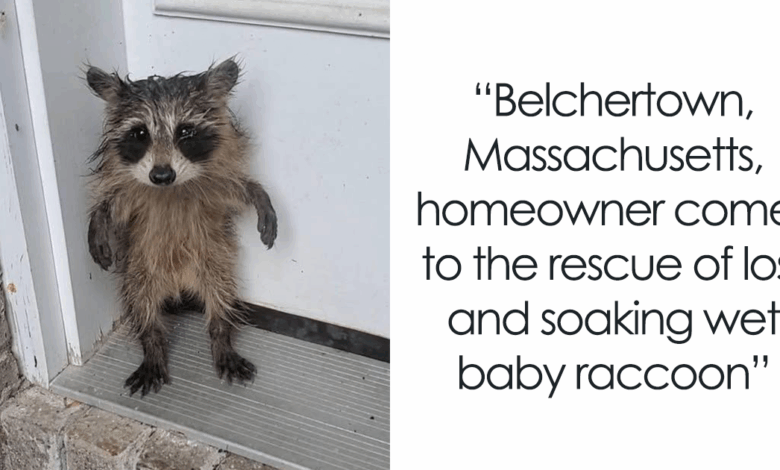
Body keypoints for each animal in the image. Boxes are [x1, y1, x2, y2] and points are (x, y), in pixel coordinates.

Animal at [85, 58, 277, 396]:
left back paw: (221, 334)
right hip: (140, 266)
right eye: (140, 133)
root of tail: (179, 285)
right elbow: (113, 205)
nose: (162, 175)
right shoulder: (133, 193)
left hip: (213, 260)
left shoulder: (213, 187)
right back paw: (152, 343)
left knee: (221, 294)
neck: (171, 190)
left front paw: (259, 195)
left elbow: (238, 190)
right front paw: (98, 219)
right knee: (141, 302)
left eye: (185, 131)